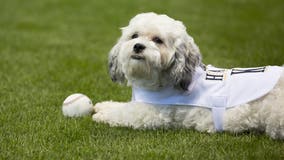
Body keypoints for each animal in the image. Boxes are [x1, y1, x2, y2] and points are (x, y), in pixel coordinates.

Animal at [92, 12, 282, 139]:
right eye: (134, 35)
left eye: (158, 40)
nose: (138, 46)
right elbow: (121, 105)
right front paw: (104, 106)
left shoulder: (151, 114)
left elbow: (123, 113)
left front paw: (102, 115)